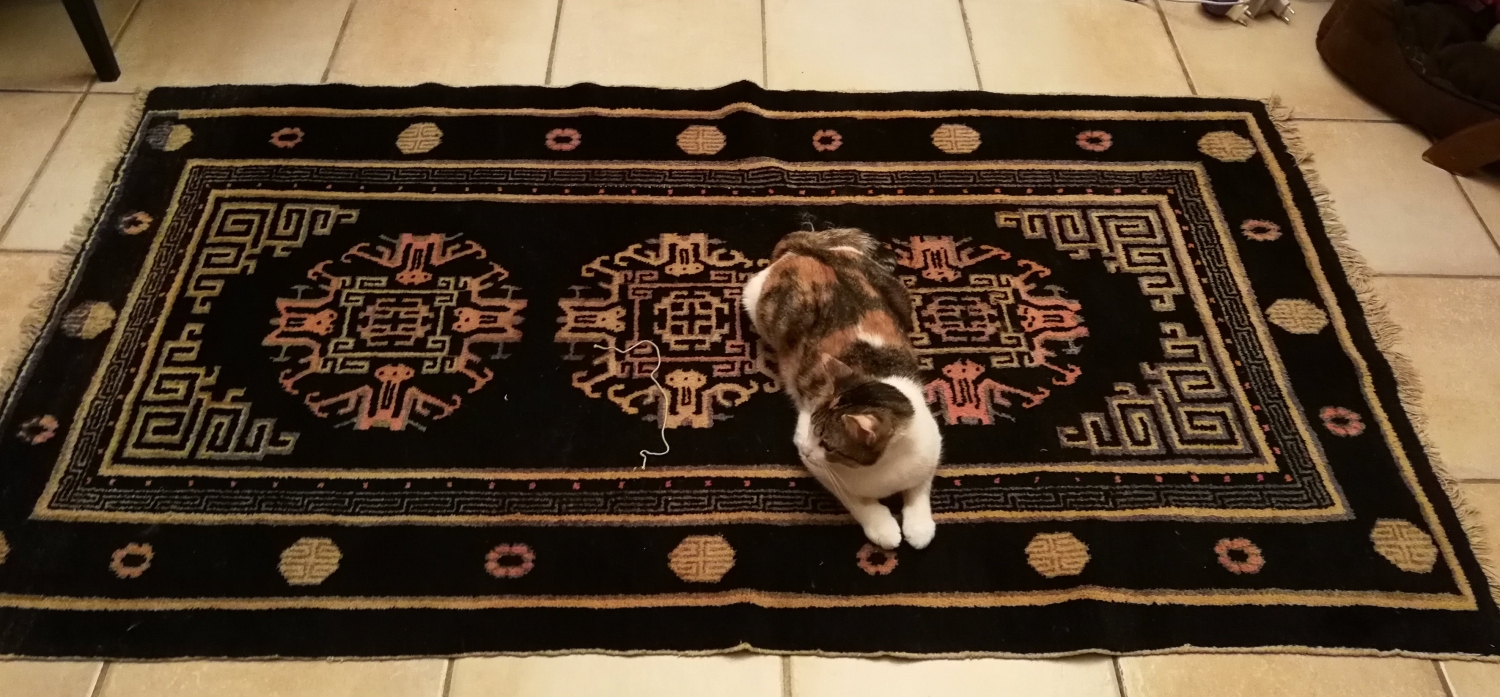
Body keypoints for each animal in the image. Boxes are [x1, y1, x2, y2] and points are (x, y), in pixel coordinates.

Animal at [742, 228, 943, 550]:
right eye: (812, 430)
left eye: (828, 443)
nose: (805, 448)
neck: (885, 468)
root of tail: (811, 251)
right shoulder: (822, 468)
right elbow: (856, 500)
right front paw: (883, 527)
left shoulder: (931, 449)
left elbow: (920, 488)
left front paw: (920, 526)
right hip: (755, 300)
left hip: (900, 297)